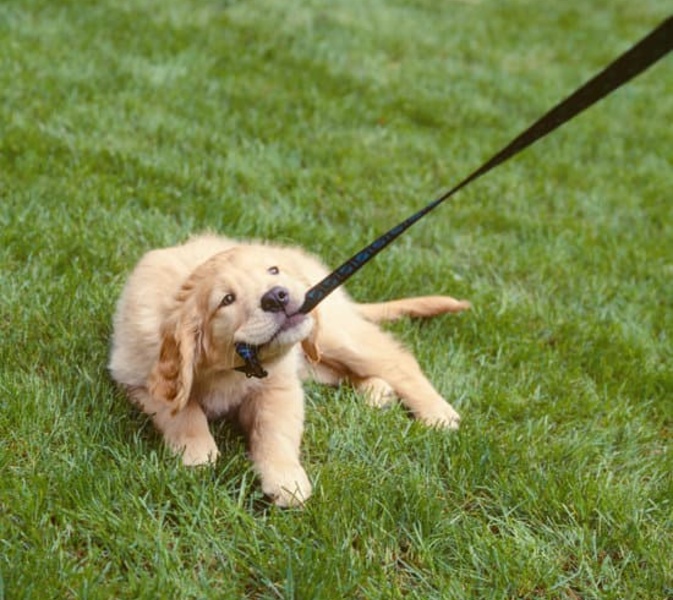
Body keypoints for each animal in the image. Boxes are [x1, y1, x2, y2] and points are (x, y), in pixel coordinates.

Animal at [109, 234, 468, 506]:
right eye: (227, 300)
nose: (278, 295)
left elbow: (274, 433)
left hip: (335, 332)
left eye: (273, 270)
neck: (231, 368)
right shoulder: (139, 380)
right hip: (313, 356)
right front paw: (198, 453)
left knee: (398, 361)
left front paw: (286, 481)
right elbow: (183, 412)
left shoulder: (278, 387)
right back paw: (375, 390)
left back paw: (436, 412)